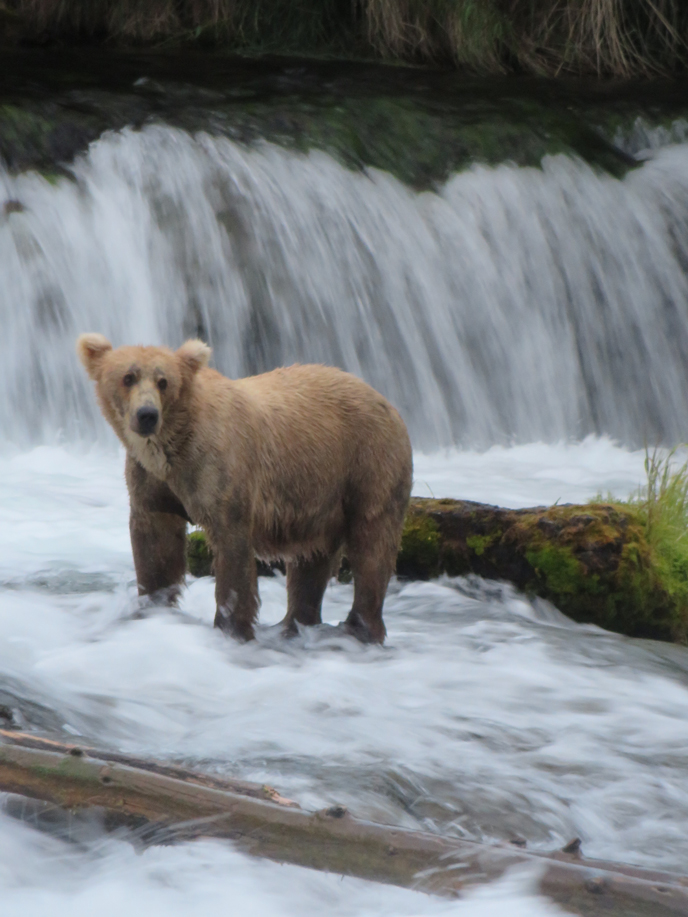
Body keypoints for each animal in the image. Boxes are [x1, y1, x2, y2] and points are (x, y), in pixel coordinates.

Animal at [78, 332, 412, 640]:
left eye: (163, 381)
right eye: (128, 377)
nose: (147, 415)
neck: (173, 446)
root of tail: (387, 401)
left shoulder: (221, 470)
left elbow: (232, 551)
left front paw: (231, 627)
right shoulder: (152, 481)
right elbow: (154, 545)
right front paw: (153, 607)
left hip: (368, 463)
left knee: (372, 544)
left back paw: (359, 627)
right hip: (318, 495)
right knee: (310, 562)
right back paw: (294, 625)